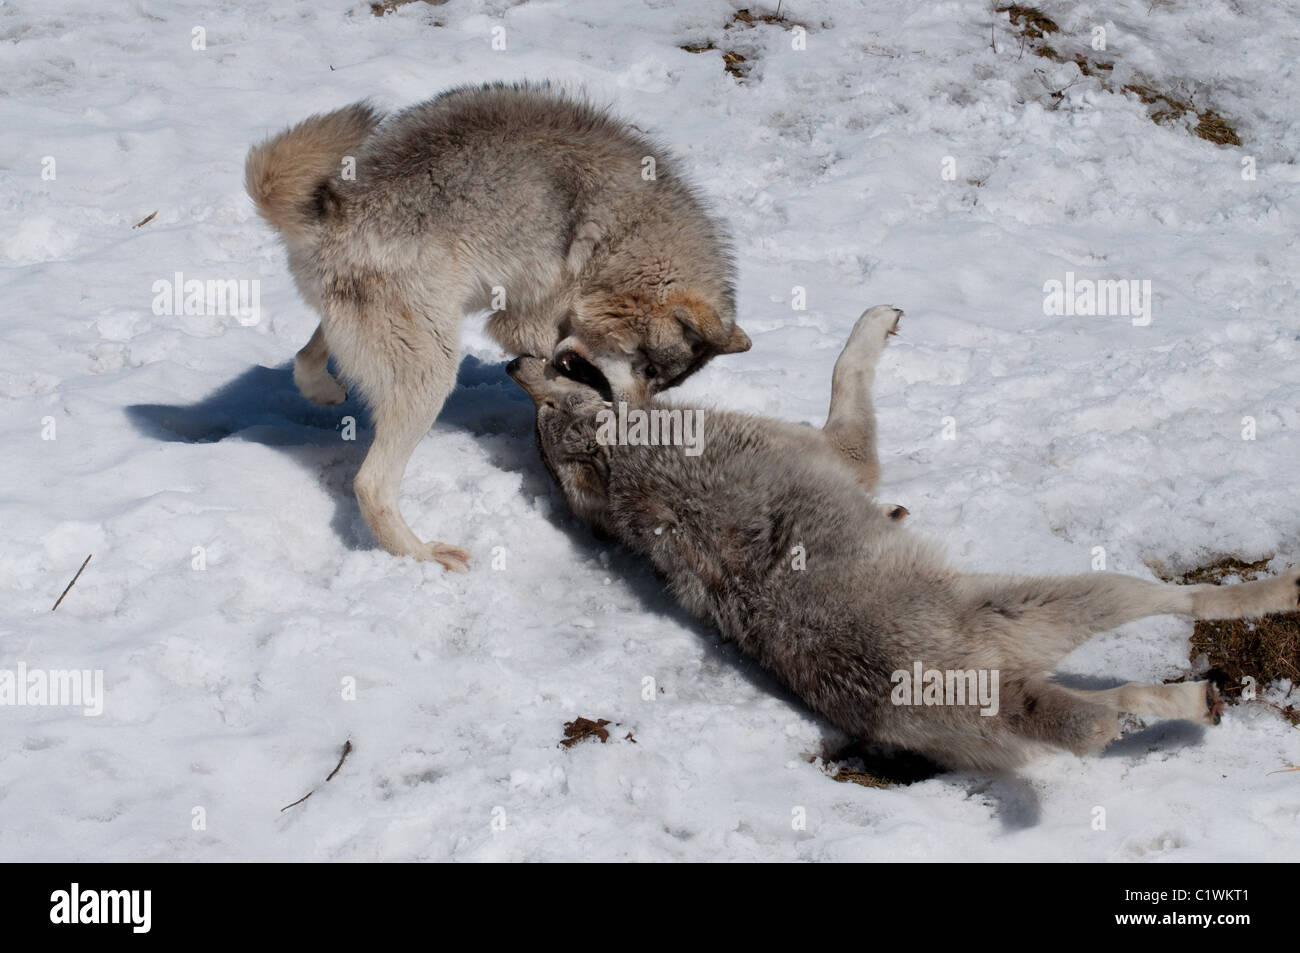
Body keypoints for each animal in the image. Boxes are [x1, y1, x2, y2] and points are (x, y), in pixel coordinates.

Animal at [245, 82, 750, 570]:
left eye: (660, 383)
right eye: (647, 370)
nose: (637, 421)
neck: (620, 239)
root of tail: (335, 210)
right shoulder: (525, 317)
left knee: (307, 354)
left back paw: (322, 390)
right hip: (433, 373)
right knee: (370, 484)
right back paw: (424, 556)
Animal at [508, 306, 1300, 771]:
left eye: (553, 365)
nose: (514, 361)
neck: (626, 456)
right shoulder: (842, 447)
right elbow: (847, 365)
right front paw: (876, 318)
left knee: (1109, 703)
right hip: (1076, 595)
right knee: (1173, 625)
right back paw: (1254, 628)